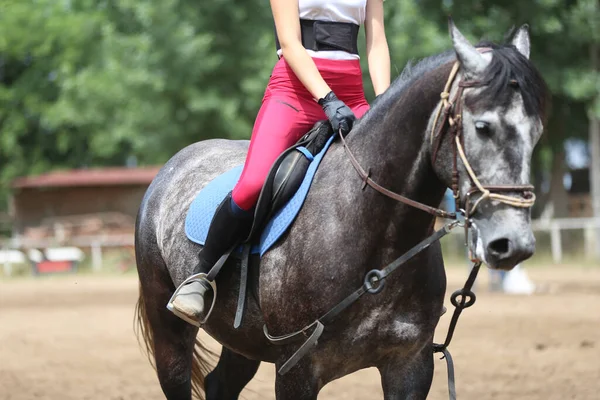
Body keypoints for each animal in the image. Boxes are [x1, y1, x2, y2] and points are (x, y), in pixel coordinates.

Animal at [135, 19, 548, 400]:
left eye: (537, 131)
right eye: (483, 127)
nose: (513, 243)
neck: (376, 235)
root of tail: (173, 166)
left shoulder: (410, 364)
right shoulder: (296, 370)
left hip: (243, 340)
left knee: (220, 383)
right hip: (169, 329)